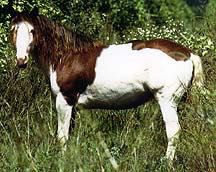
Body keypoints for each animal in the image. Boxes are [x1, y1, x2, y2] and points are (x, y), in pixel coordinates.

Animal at [10, 10, 204, 161]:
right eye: (14, 30)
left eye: (32, 30)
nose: (21, 60)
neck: (66, 56)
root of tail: (188, 53)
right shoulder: (72, 106)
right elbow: (69, 133)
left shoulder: (64, 100)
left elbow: (62, 136)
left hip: (167, 100)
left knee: (173, 131)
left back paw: (167, 162)